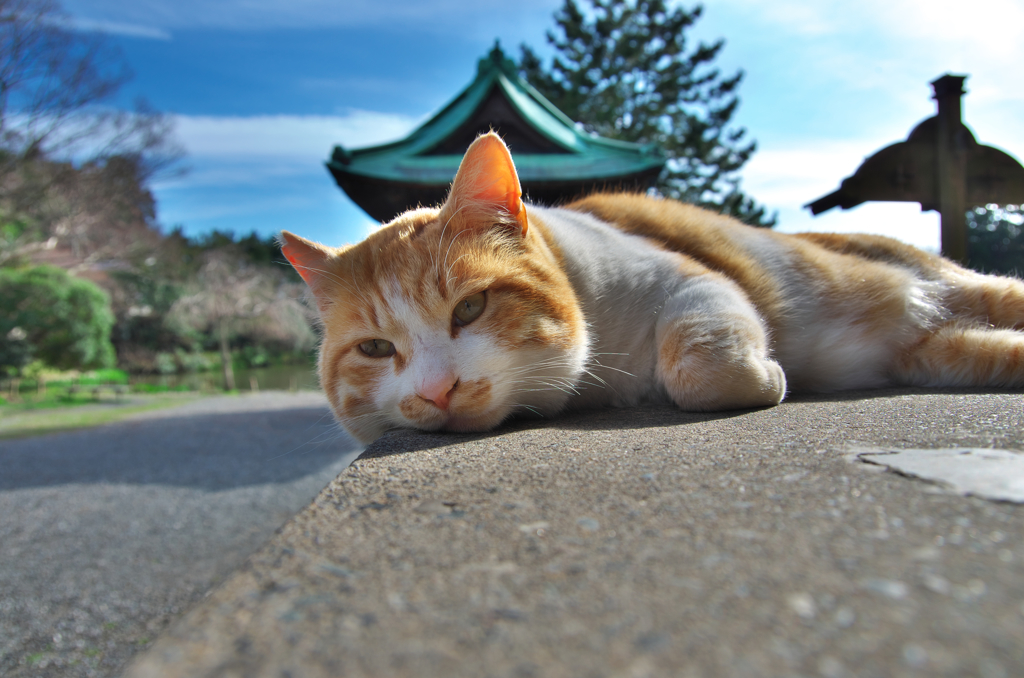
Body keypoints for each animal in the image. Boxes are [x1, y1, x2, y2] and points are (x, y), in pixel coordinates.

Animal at [280, 133, 1024, 446]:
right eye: (376, 349)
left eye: (471, 307)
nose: (438, 392)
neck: (595, 382)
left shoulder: (693, 283)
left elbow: (699, 363)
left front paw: (768, 375)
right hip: (950, 355)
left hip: (951, 290)